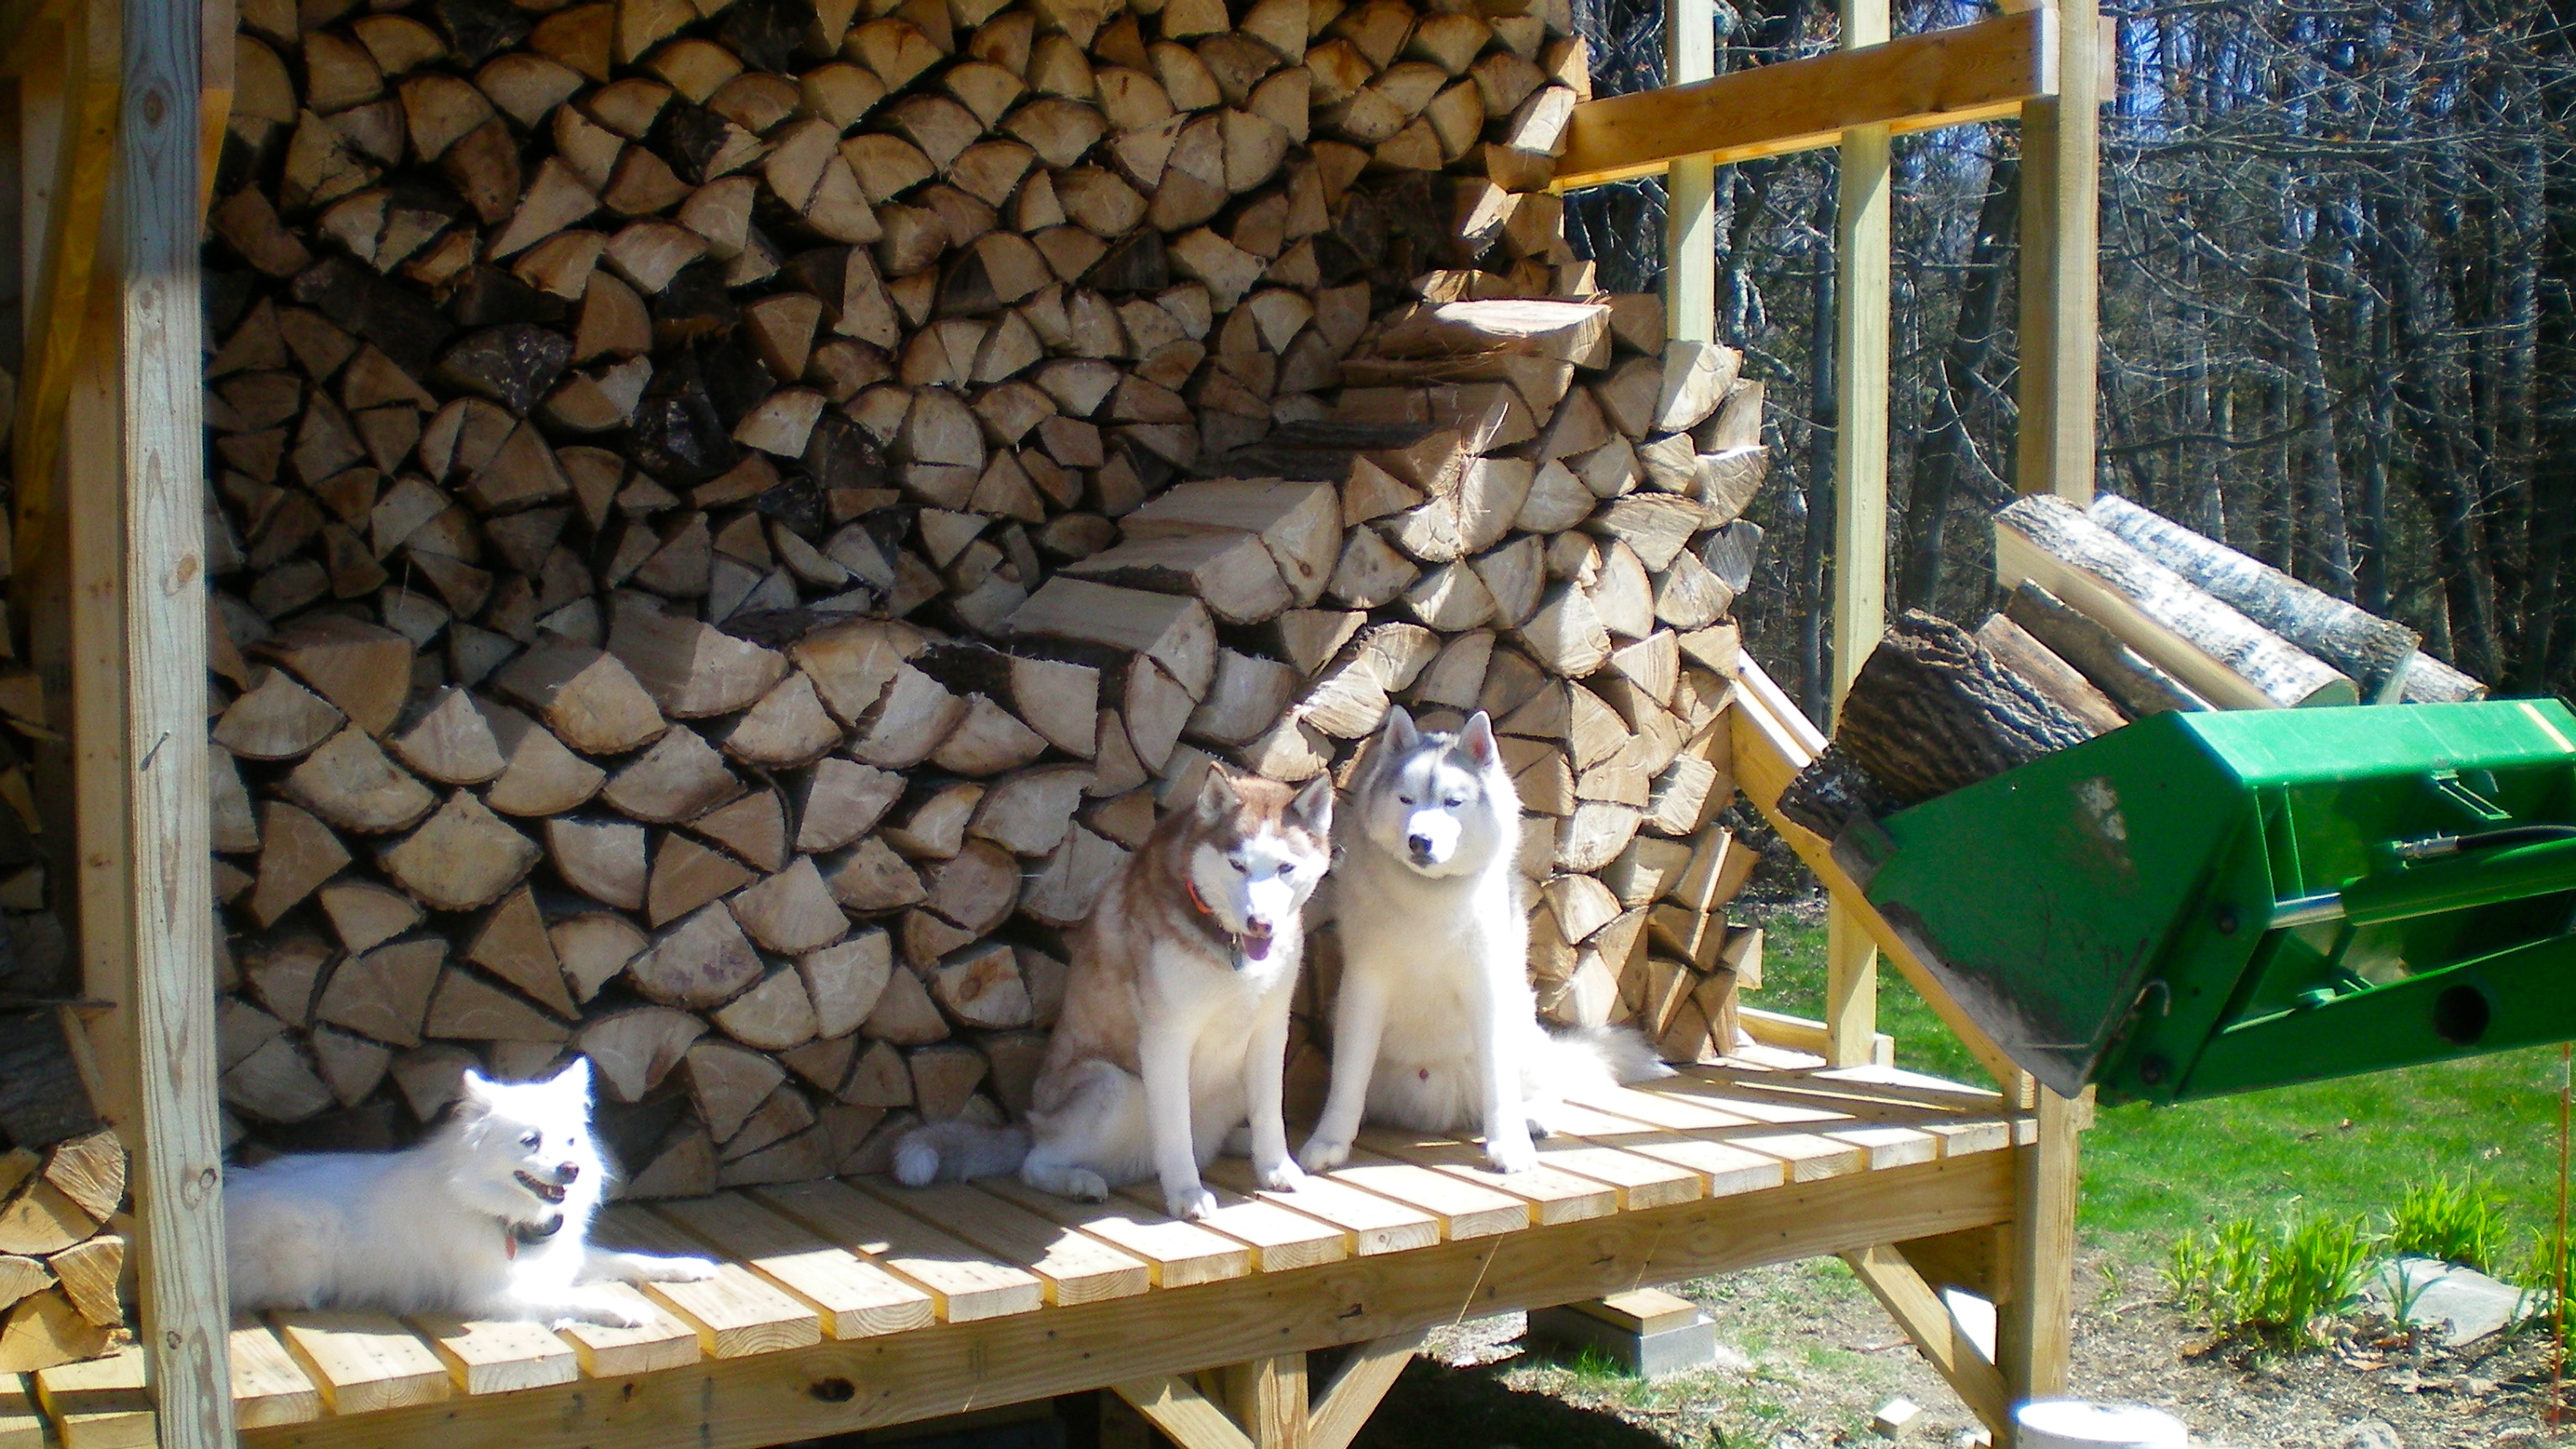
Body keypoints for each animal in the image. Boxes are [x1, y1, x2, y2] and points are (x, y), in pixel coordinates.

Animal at [225, 1058, 716, 1327]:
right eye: (530, 1141)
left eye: (571, 1141)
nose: (571, 1170)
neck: (504, 1216)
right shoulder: (493, 1296)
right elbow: (574, 1297)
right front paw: (622, 1310)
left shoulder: (564, 1258)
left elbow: (630, 1259)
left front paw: (687, 1266)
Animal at [895, 767, 1332, 1220]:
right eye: (1237, 864)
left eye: (1285, 867)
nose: (1260, 924)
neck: (1227, 942)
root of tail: (1030, 1126)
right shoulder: (1166, 1036)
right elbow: (1175, 1131)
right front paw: (1186, 1193)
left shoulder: (1270, 1028)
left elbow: (1270, 1112)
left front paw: (1276, 1167)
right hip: (1111, 1086)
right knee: (1035, 1164)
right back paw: (1078, 1181)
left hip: (1226, 1084)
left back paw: (1239, 1143)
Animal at [1299, 707, 1669, 1176]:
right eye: (1406, 800)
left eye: (1452, 802)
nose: (1420, 840)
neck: (1429, 899)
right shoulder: (1364, 989)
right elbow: (1348, 1080)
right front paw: (1330, 1141)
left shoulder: (1487, 989)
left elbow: (1500, 1084)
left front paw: (1508, 1144)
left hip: (1523, 1031)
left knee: (1544, 1089)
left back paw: (1533, 1119)